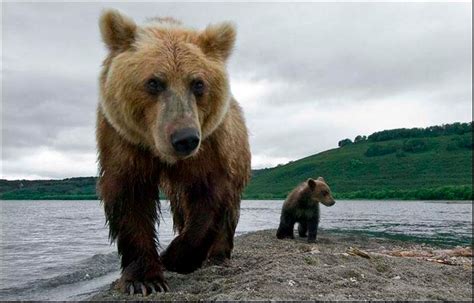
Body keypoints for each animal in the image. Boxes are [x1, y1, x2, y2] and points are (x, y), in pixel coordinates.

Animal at [96, 10, 252, 296]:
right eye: (154, 82)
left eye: (198, 83)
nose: (184, 139)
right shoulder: (124, 142)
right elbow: (130, 199)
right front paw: (144, 279)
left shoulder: (210, 146)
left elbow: (210, 196)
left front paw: (174, 257)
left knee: (229, 208)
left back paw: (218, 255)